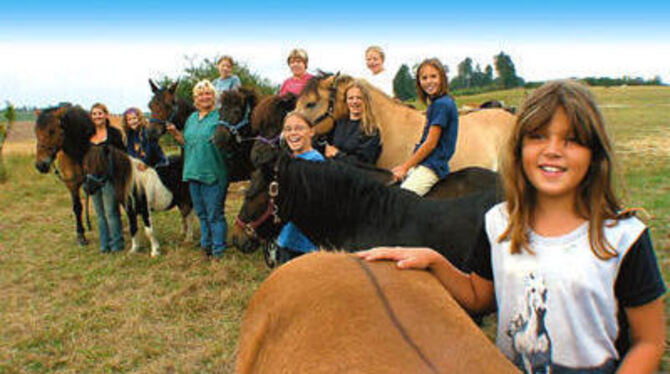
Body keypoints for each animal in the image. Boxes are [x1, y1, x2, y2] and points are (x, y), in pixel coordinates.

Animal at [34, 105, 95, 245]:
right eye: (36, 132)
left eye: (51, 131)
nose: (40, 165)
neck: (77, 152)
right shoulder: (71, 184)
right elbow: (77, 207)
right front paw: (81, 235)